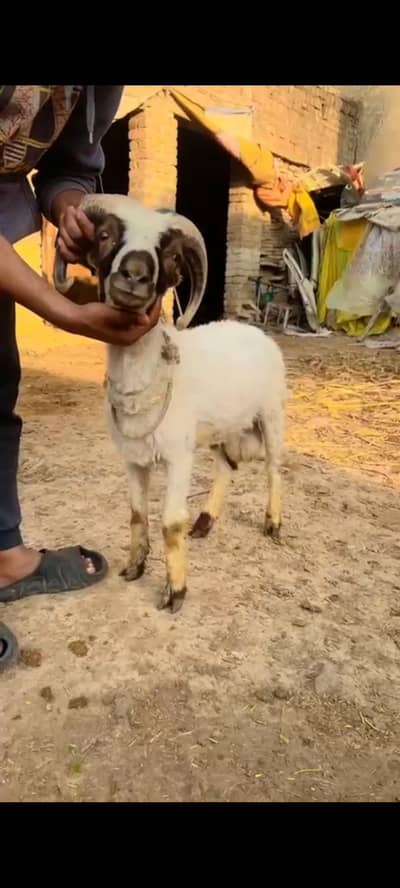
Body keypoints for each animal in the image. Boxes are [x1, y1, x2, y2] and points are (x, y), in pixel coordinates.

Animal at [54, 194, 286, 613]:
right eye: (104, 235)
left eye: (173, 256)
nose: (133, 274)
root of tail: (253, 329)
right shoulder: (132, 458)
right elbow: (136, 513)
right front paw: (134, 568)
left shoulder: (179, 456)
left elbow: (170, 522)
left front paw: (175, 592)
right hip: (221, 427)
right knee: (227, 466)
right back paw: (205, 522)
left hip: (273, 413)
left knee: (274, 469)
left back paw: (273, 524)